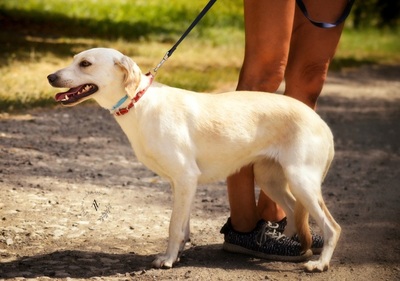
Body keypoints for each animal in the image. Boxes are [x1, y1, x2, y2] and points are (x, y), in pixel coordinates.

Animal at [47, 47, 340, 272]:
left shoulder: (186, 178)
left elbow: (173, 227)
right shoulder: (181, 183)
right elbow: (183, 226)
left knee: (332, 228)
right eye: (74, 59)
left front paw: (167, 260)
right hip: (272, 179)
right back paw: (291, 248)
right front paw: (177, 255)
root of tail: (321, 123)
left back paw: (319, 264)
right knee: (292, 213)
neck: (140, 103)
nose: (50, 76)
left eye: (85, 64)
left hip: (301, 181)